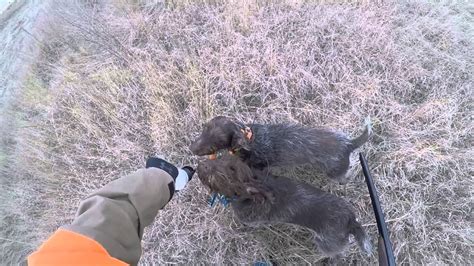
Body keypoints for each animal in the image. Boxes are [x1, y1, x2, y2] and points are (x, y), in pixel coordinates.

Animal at [189, 116, 370, 183]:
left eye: (217, 142)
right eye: (204, 128)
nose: (191, 148)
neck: (250, 139)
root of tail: (349, 143)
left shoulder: (260, 168)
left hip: (334, 172)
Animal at [197, 155, 374, 256]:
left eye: (228, 174)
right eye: (221, 158)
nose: (200, 165)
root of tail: (351, 220)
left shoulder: (252, 221)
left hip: (325, 244)